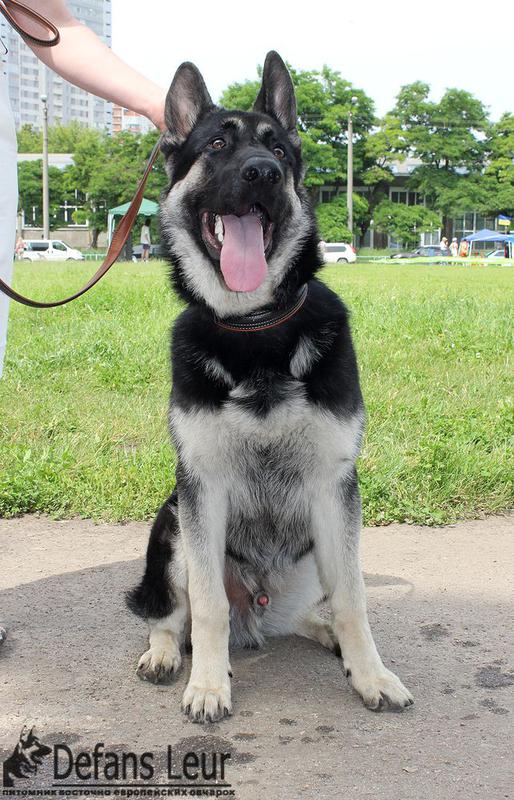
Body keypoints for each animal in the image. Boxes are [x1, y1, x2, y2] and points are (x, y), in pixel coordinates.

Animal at [128, 51, 412, 724]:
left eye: (278, 149)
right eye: (216, 145)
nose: (262, 171)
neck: (255, 327)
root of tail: (256, 615)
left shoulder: (334, 488)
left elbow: (355, 600)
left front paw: (370, 674)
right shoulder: (200, 490)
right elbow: (206, 608)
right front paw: (208, 685)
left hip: (312, 556)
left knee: (316, 610)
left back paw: (329, 638)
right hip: (173, 527)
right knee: (170, 615)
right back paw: (166, 655)